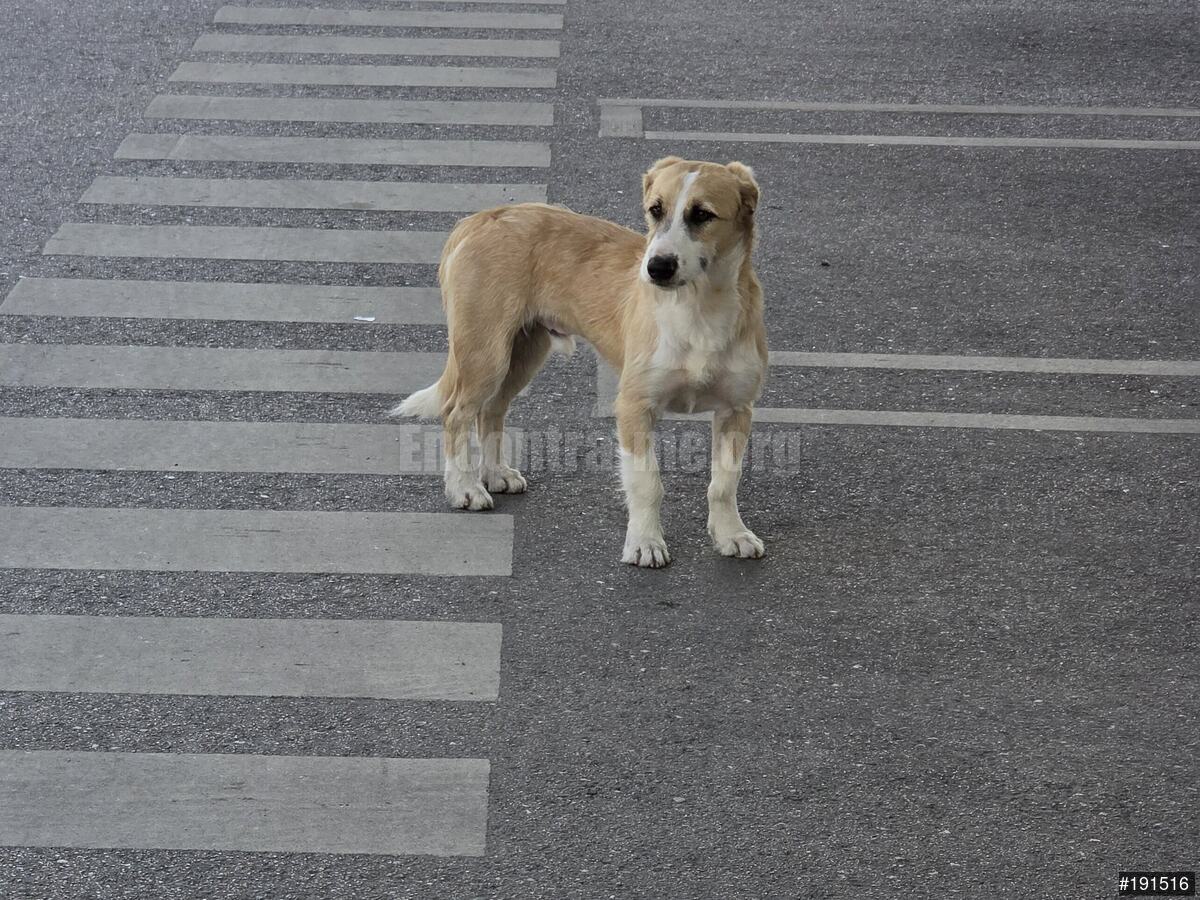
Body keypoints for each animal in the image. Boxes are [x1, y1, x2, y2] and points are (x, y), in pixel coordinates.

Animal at [391, 156, 768, 567]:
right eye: (655, 210)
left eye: (702, 214)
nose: (656, 268)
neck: (698, 310)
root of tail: (482, 217)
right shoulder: (634, 407)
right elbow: (647, 482)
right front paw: (645, 542)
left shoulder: (736, 410)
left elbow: (724, 483)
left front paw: (731, 534)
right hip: (484, 354)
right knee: (456, 413)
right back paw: (465, 488)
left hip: (522, 354)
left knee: (490, 411)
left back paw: (494, 474)